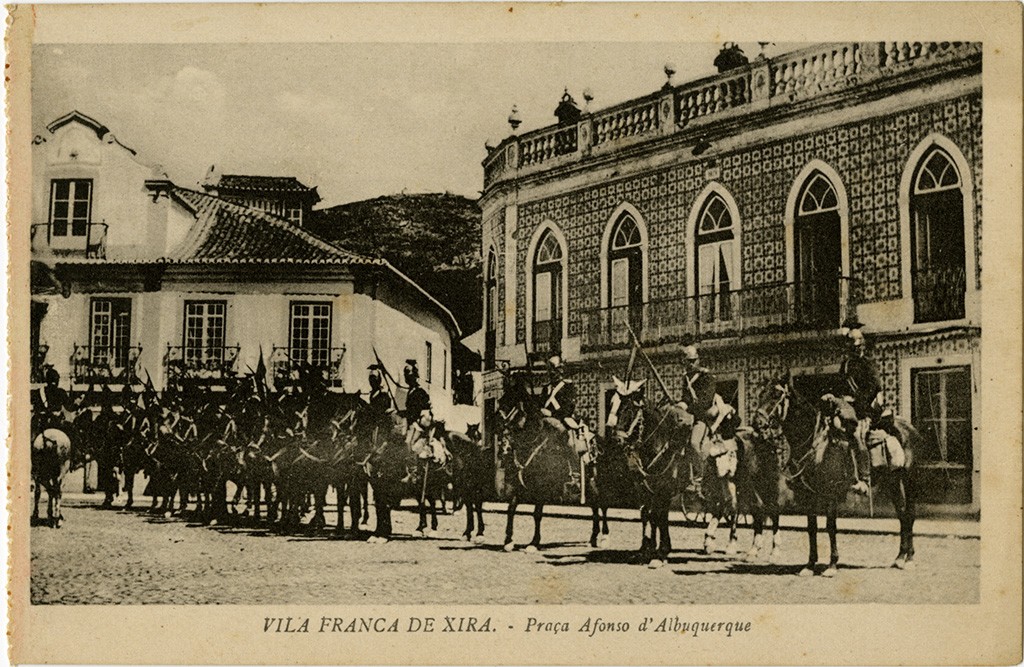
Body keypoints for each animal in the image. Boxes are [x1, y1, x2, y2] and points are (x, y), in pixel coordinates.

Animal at [495, 370, 585, 553]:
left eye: (510, 401)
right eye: (501, 400)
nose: (495, 424)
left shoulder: (542, 487)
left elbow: (537, 513)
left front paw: (534, 543)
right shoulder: (516, 484)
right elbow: (511, 508)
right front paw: (508, 540)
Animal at [606, 379, 696, 565]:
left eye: (628, 409)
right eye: (611, 403)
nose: (616, 440)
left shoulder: (665, 489)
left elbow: (660, 516)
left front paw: (662, 551)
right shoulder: (644, 488)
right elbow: (648, 515)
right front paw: (648, 548)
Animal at [782, 379, 921, 577]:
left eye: (774, 397)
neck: (814, 445)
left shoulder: (831, 492)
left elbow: (830, 526)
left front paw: (832, 565)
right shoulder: (809, 494)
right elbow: (811, 528)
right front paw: (809, 565)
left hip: (909, 479)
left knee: (910, 514)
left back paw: (909, 559)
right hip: (892, 481)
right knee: (902, 513)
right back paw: (900, 558)